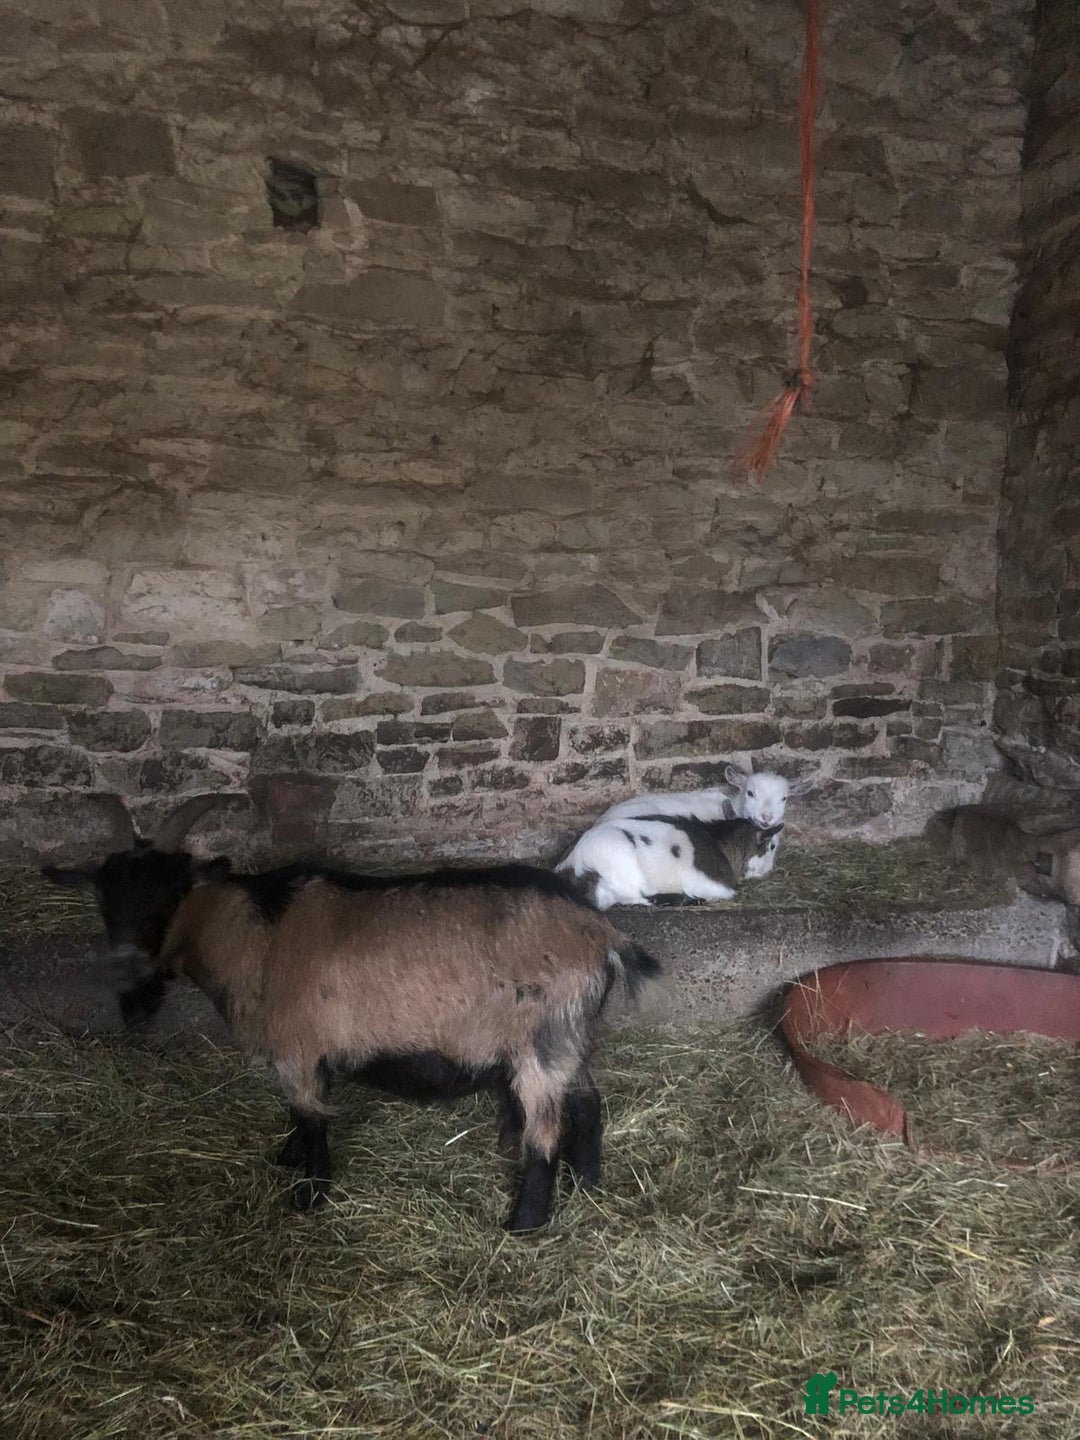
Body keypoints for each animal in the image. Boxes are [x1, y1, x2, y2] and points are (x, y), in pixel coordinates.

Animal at [43, 796, 661, 1233]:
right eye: (104, 899)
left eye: (171, 894)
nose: (125, 977)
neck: (256, 935)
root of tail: (601, 934)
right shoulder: (304, 1052)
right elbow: (300, 1112)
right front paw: (287, 1159)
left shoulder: (298, 1049)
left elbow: (311, 1115)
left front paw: (309, 1193)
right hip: (571, 1038)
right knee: (588, 1103)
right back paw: (587, 1186)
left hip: (542, 1043)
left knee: (545, 1130)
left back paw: (524, 1222)